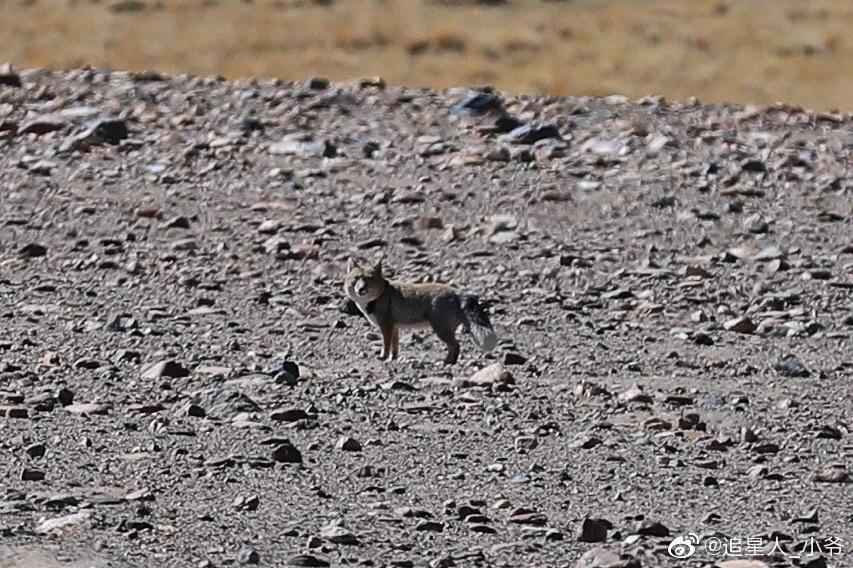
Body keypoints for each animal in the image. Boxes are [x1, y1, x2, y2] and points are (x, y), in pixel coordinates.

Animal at [342, 258, 496, 364]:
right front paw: (394, 358)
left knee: (456, 346)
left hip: (441, 331)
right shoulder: (394, 327)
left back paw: (447, 362)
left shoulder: (386, 326)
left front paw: (383, 357)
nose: (361, 289)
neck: (379, 296)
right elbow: (395, 346)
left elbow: (386, 345)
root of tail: (457, 292)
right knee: (455, 346)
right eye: (356, 279)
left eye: (369, 279)